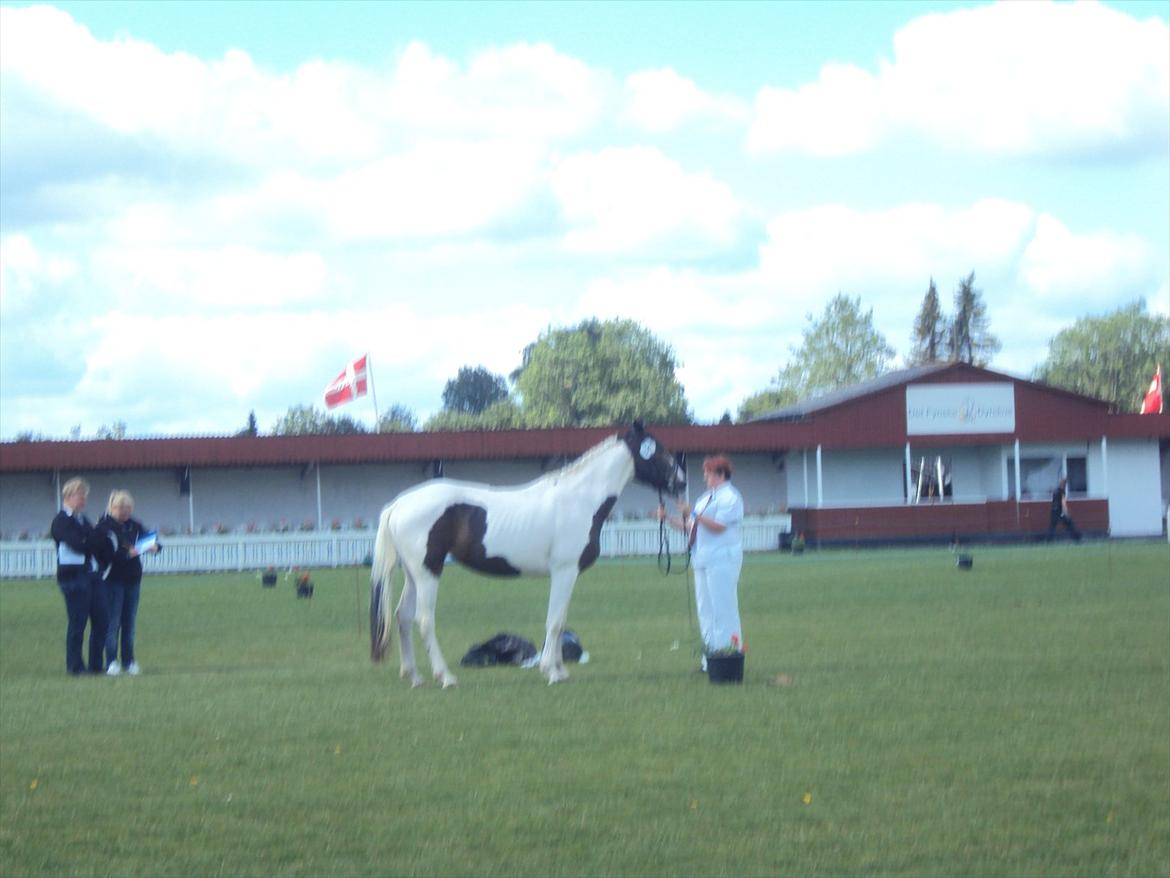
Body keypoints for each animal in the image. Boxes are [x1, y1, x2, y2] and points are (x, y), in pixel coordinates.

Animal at [369, 423, 683, 688]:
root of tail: (399, 504)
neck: (579, 500)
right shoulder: (564, 571)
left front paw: (559, 669)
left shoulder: (567, 574)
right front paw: (552, 672)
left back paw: (414, 676)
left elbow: (560, 619)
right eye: (657, 450)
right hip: (428, 572)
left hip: (413, 574)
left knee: (403, 617)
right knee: (424, 620)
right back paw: (445, 677)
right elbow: (554, 621)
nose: (680, 483)